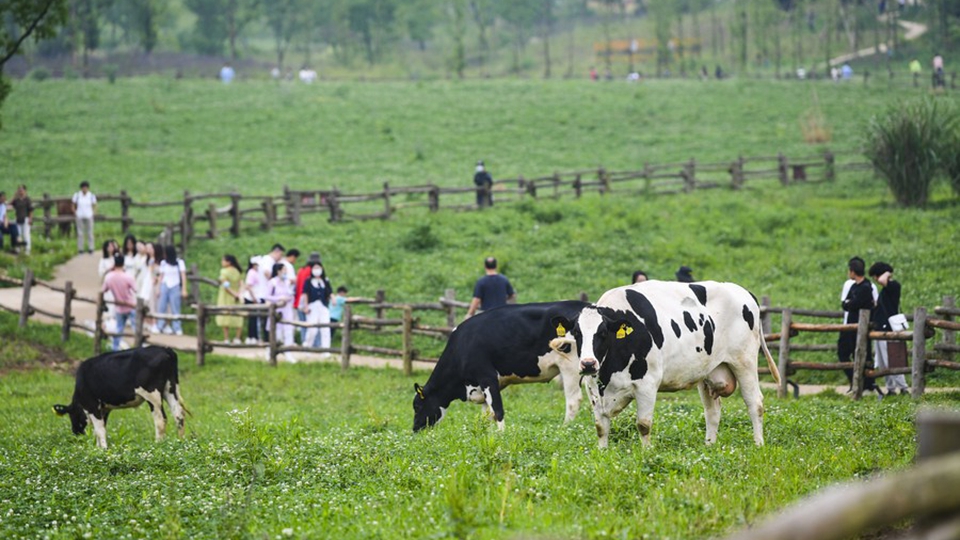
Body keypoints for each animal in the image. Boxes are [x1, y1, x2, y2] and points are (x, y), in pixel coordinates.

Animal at [52, 346, 188, 448]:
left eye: (72, 415)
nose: (76, 433)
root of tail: (165, 349)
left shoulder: (92, 405)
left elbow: (99, 429)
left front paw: (103, 449)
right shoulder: (104, 408)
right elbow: (100, 428)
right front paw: (99, 447)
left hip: (152, 394)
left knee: (161, 419)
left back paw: (158, 443)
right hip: (170, 388)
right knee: (178, 414)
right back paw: (180, 441)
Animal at [414, 302, 592, 432]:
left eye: (417, 406)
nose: (415, 429)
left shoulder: (487, 376)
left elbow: (497, 411)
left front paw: (501, 435)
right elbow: (486, 414)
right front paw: (486, 434)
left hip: (570, 366)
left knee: (573, 400)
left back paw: (565, 428)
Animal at [548, 280, 780, 450]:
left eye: (603, 333)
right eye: (577, 333)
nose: (588, 363)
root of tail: (742, 291)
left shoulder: (647, 384)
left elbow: (643, 424)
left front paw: (646, 453)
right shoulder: (593, 388)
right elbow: (600, 427)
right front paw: (603, 453)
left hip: (744, 361)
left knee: (755, 403)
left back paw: (758, 444)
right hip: (708, 371)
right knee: (712, 411)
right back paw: (709, 446)